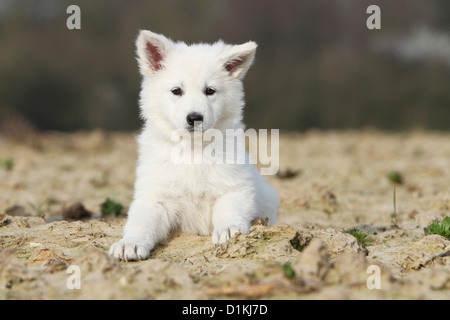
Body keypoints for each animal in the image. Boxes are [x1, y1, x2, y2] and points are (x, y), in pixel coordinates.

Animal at [109, 30, 278, 260]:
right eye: (176, 91)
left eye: (210, 90)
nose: (194, 118)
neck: (193, 150)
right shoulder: (155, 197)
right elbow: (141, 223)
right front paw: (129, 243)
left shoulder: (236, 187)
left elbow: (230, 210)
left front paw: (229, 230)